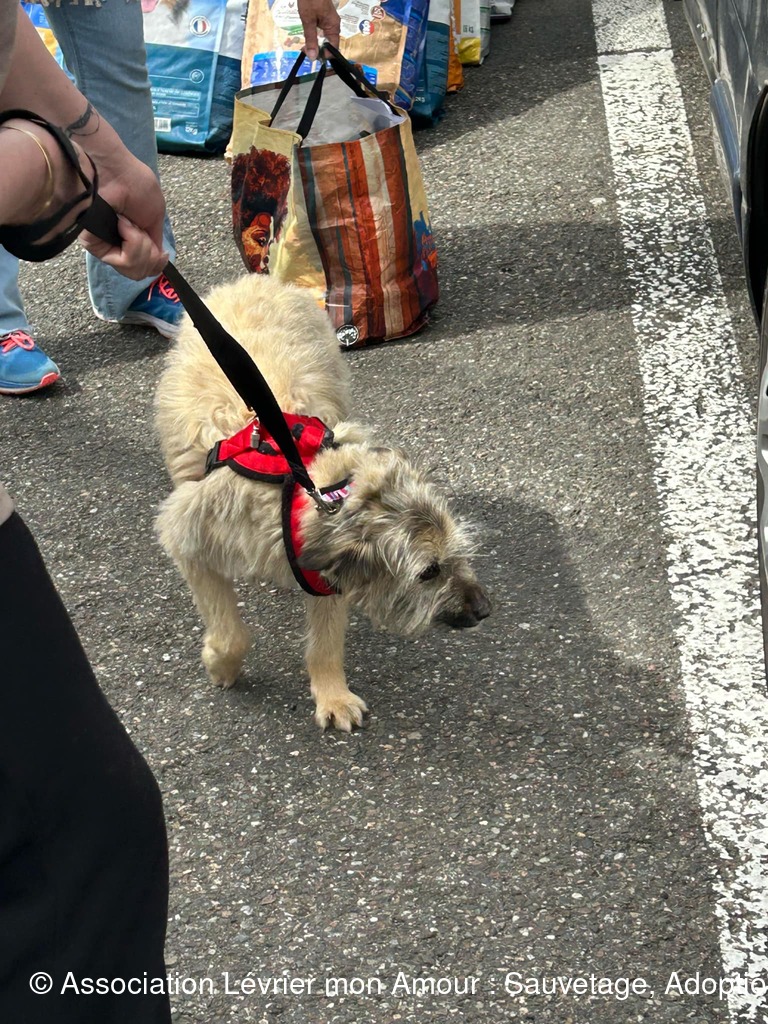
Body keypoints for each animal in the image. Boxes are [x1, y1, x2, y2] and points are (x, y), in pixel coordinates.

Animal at [154, 274, 490, 730]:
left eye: (458, 554)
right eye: (428, 572)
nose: (485, 609)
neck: (305, 485)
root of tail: (255, 278)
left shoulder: (326, 571)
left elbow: (326, 641)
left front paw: (332, 694)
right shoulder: (190, 538)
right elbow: (231, 631)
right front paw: (220, 664)